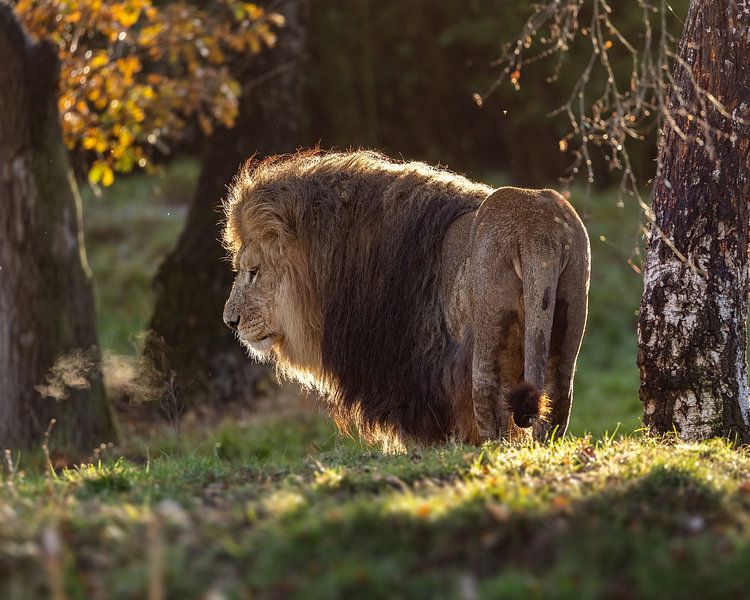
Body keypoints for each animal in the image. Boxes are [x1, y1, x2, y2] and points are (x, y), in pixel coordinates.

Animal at [223, 149, 592, 448]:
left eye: (253, 271)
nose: (230, 321)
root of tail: (536, 230)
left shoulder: (412, 380)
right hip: (567, 323)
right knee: (556, 404)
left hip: (489, 339)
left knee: (491, 405)